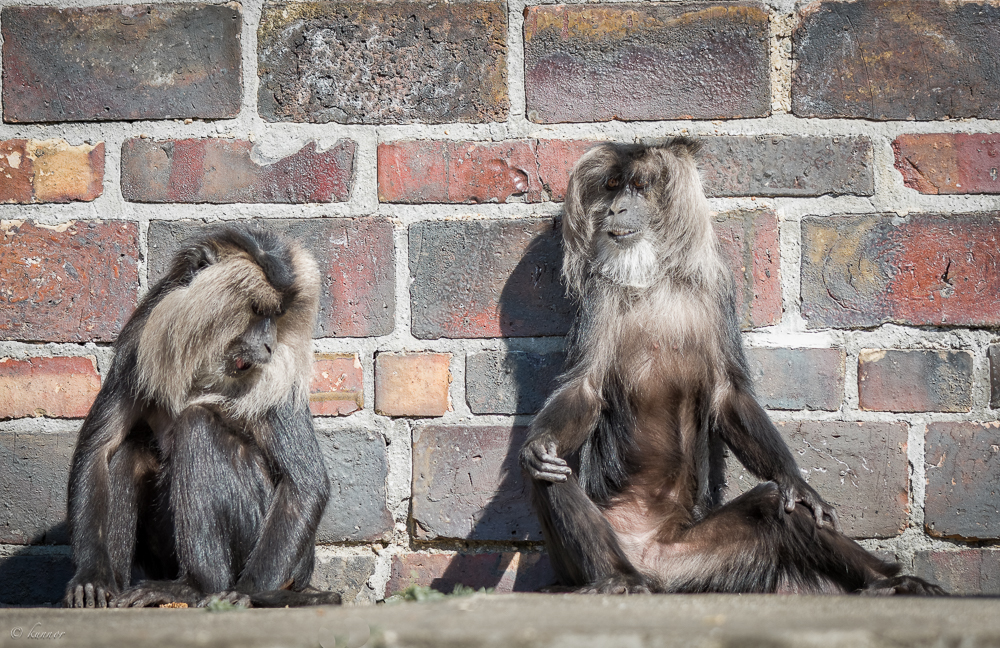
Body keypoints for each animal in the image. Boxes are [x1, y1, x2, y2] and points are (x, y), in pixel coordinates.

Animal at [65, 227, 344, 608]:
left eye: (277, 315)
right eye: (257, 311)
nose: (269, 345)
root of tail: (303, 576)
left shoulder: (279, 377)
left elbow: (305, 483)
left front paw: (246, 592)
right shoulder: (139, 343)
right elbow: (99, 449)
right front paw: (91, 578)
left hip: (274, 547)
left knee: (196, 425)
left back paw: (195, 587)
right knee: (129, 452)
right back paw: (120, 587)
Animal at [524, 142, 944, 596]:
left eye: (639, 186)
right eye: (613, 186)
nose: (617, 209)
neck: (654, 281)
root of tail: (650, 569)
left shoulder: (717, 289)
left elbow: (729, 396)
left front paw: (795, 480)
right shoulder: (599, 295)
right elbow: (583, 389)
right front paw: (540, 441)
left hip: (688, 565)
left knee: (775, 504)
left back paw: (891, 581)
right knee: (549, 473)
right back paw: (618, 580)